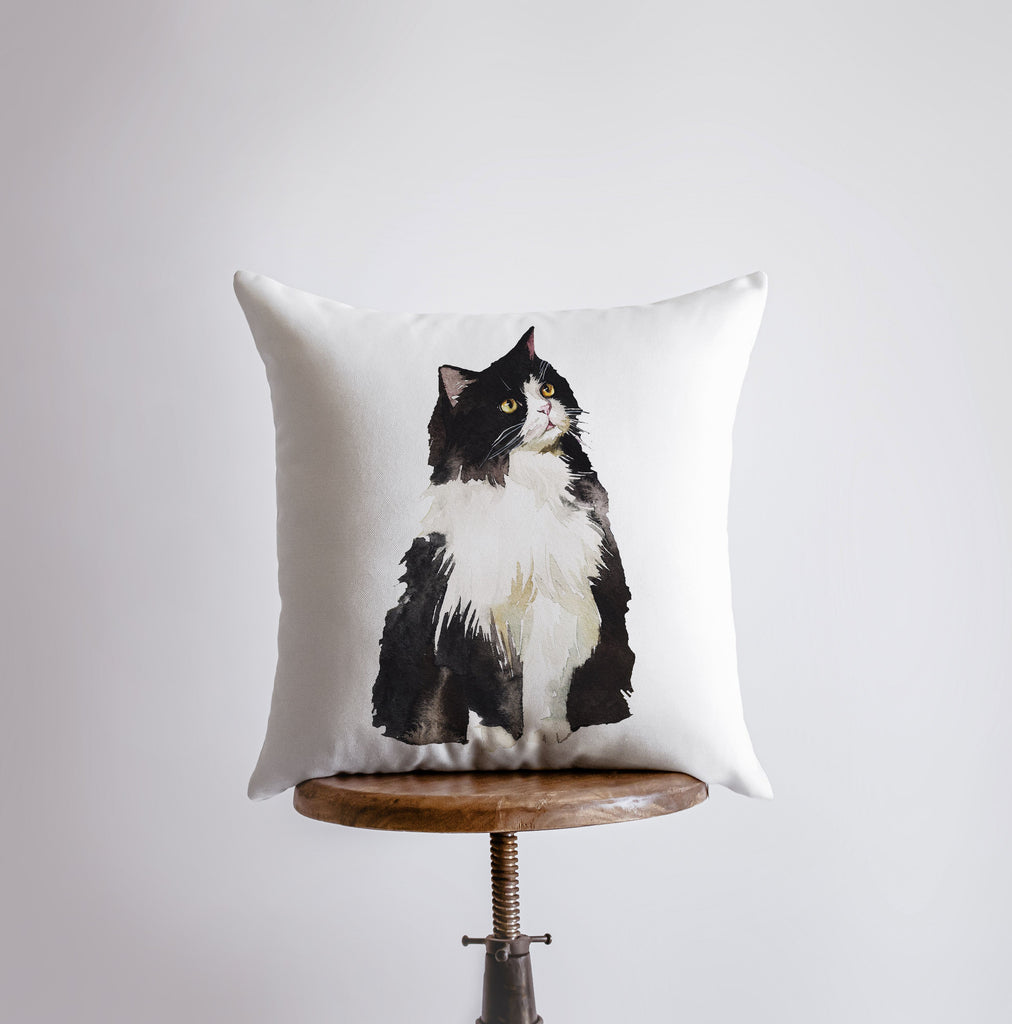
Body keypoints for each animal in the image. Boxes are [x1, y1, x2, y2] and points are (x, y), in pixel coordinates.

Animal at [370, 331, 630, 749]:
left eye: (547, 388)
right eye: (508, 406)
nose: (545, 407)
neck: (530, 483)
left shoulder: (560, 607)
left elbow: (551, 684)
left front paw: (550, 731)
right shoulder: (476, 616)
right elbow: (495, 685)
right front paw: (501, 737)